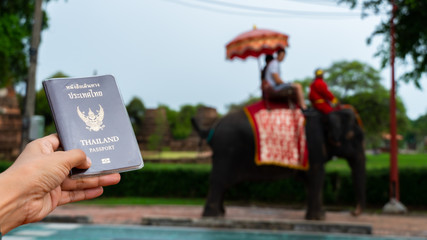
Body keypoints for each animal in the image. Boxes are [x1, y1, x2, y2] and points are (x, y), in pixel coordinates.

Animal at [192, 106, 366, 220]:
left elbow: (309, 180)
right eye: (357, 138)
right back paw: (212, 216)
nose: (353, 213)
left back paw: (221, 214)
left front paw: (319, 216)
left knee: (223, 183)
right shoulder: (313, 144)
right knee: (219, 181)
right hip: (227, 151)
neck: (327, 114)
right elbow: (317, 175)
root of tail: (213, 128)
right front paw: (319, 219)